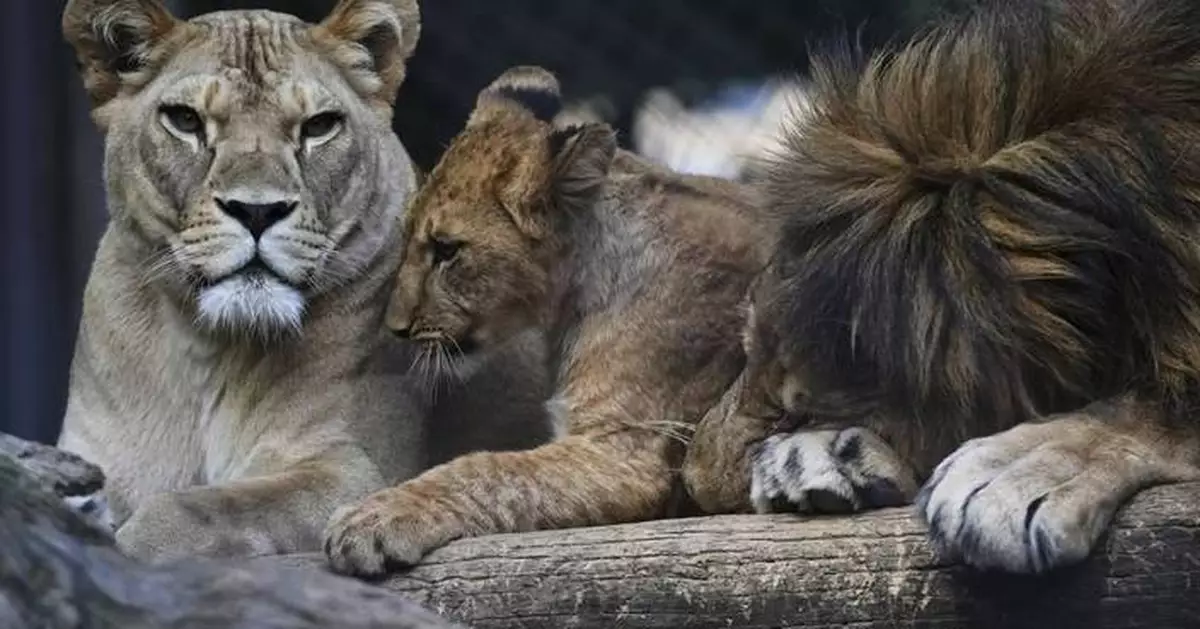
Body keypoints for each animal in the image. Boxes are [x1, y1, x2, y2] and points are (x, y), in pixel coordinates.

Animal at [58, 0, 550, 562]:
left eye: (318, 127)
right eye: (185, 121)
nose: (257, 210)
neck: (207, 346)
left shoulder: (354, 472)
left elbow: (207, 506)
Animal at [687, 0, 1200, 574]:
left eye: (800, 410)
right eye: (747, 348)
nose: (691, 484)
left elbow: (1158, 409)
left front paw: (1017, 471)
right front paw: (815, 460)